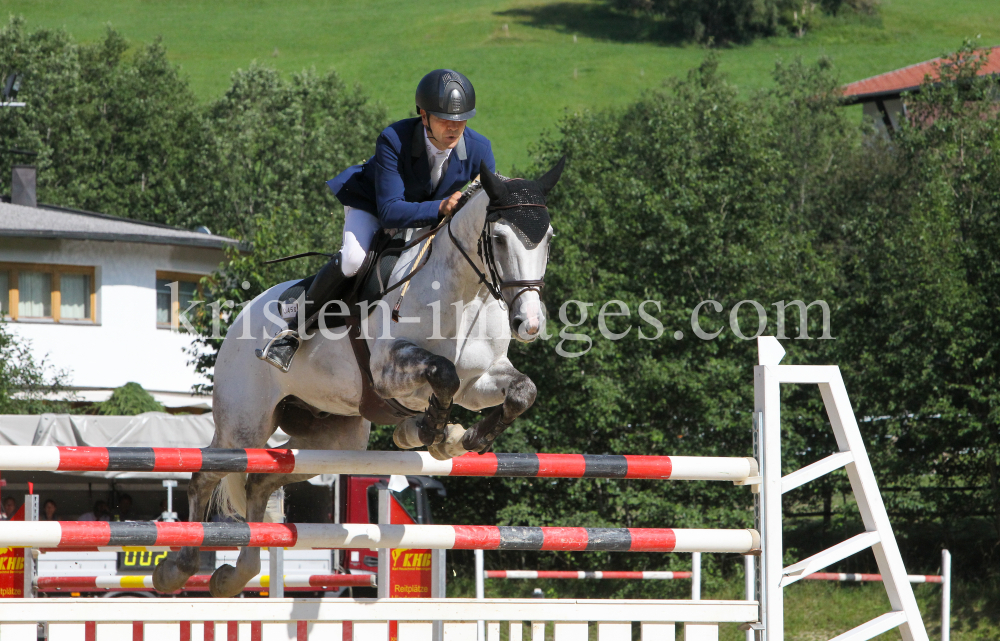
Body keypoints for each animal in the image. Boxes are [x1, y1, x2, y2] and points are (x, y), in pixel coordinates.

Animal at [152, 158, 568, 596]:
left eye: (548, 240)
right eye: (500, 239)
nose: (529, 324)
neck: (464, 294)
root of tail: (238, 319)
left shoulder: (480, 381)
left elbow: (521, 391)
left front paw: (466, 438)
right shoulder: (389, 369)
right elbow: (443, 373)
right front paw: (428, 432)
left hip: (335, 438)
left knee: (260, 482)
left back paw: (236, 574)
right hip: (244, 425)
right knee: (206, 474)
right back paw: (178, 568)